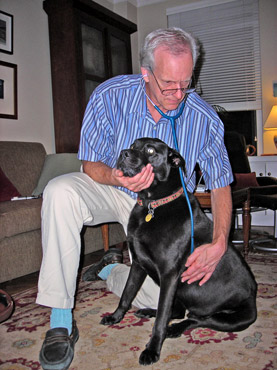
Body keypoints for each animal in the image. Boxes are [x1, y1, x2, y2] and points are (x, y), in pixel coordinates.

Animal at [99, 139, 256, 368]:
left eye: (150, 150)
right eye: (133, 145)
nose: (123, 153)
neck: (152, 205)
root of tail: (253, 297)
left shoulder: (169, 275)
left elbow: (161, 320)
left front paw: (152, 350)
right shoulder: (138, 264)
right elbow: (127, 294)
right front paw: (115, 317)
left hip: (234, 319)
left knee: (195, 319)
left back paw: (174, 328)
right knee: (179, 312)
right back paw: (148, 310)